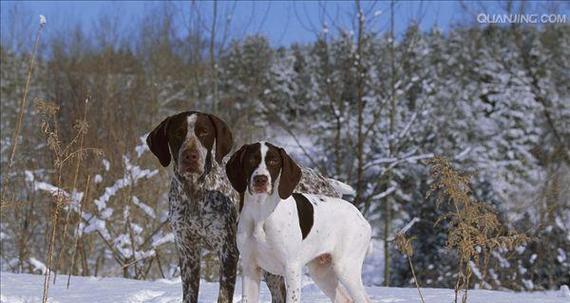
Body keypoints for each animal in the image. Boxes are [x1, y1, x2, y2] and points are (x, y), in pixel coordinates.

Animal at [145, 111, 350, 303]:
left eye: (204, 132)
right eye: (178, 133)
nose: (190, 156)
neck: (194, 191)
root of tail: (327, 183)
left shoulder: (228, 251)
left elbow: (223, 296)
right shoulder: (187, 250)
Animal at [224, 142, 370, 303]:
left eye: (274, 161)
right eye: (251, 160)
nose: (260, 179)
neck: (261, 212)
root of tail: (359, 215)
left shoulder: (291, 268)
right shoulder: (250, 268)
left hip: (345, 268)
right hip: (321, 272)